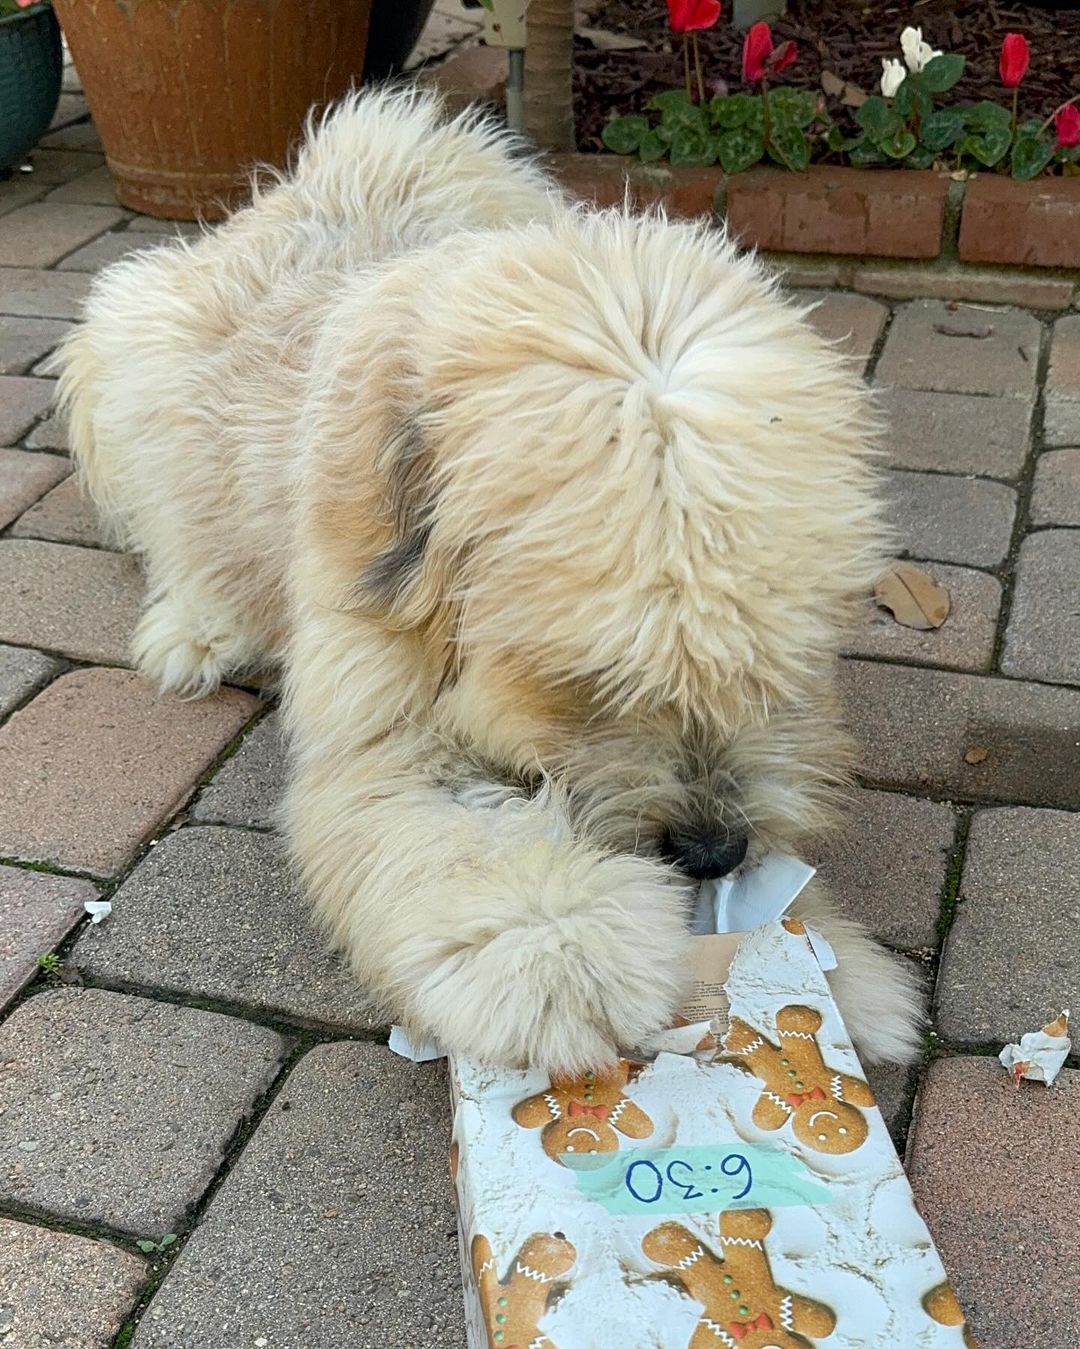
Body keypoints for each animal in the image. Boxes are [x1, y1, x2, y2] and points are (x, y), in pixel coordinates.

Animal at [56, 89, 922, 1074]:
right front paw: (565, 953)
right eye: (589, 684)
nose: (710, 851)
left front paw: (835, 966)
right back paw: (199, 625)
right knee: (174, 530)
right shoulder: (383, 732)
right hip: (131, 357)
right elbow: (476, 845)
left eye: (772, 666)